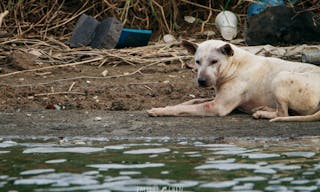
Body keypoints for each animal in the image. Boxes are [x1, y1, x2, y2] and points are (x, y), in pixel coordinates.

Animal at [148, 39, 320, 121]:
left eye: (214, 61)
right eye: (197, 62)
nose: (201, 81)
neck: (234, 65)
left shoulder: (216, 107)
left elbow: (185, 108)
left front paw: (160, 111)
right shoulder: (216, 98)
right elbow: (190, 101)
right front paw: (166, 106)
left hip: (281, 77)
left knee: (284, 114)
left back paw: (263, 114)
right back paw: (263, 109)